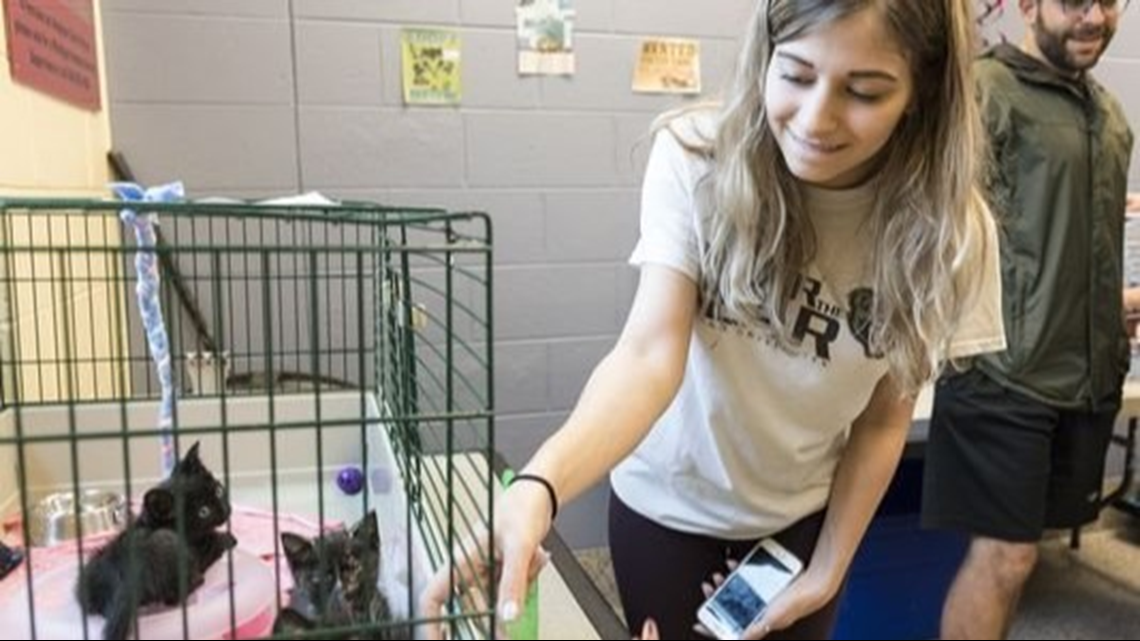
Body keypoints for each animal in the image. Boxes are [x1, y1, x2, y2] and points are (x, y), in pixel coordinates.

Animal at [74, 442, 235, 634]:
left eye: (218, 491)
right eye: (204, 512)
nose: (226, 510)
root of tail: (126, 576)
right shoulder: (200, 550)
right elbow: (216, 541)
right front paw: (229, 538)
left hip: (87, 574)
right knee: (175, 597)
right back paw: (197, 581)